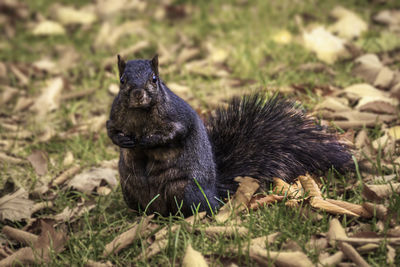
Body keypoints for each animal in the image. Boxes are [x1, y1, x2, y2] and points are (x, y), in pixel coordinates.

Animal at [107, 55, 354, 218]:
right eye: (122, 80)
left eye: (154, 79)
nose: (138, 94)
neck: (141, 113)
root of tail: (214, 194)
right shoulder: (114, 116)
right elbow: (111, 131)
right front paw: (123, 141)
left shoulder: (178, 116)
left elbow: (176, 132)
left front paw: (148, 140)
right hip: (130, 190)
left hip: (185, 190)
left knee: (200, 209)